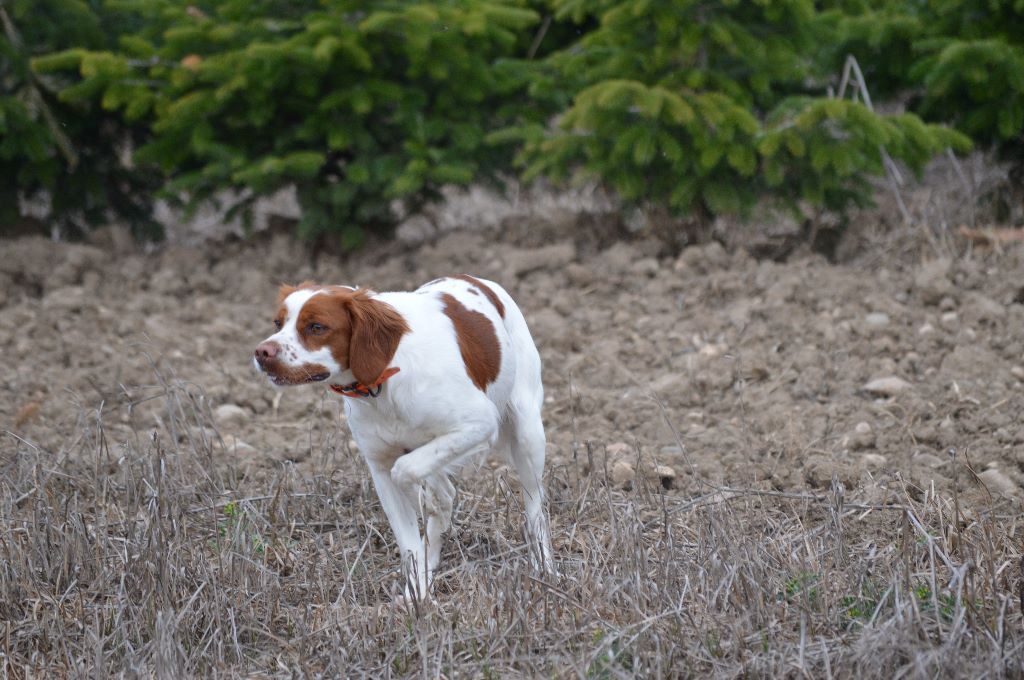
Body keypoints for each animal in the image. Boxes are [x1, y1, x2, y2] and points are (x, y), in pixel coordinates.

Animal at [252, 274, 557, 593]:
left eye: (316, 327)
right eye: (277, 323)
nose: (262, 352)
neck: (382, 380)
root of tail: (477, 279)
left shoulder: (480, 422)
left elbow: (406, 470)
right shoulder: (380, 466)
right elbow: (409, 541)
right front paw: (417, 595)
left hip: (527, 433)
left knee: (535, 507)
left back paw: (544, 568)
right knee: (444, 492)